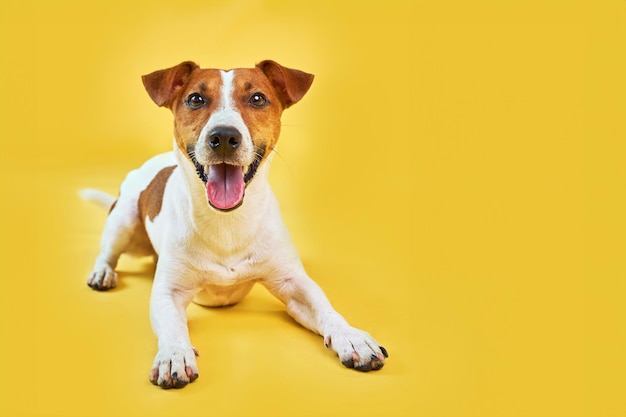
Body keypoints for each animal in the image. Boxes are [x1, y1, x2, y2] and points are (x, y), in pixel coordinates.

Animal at [83, 60, 386, 388]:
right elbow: (172, 327)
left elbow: (326, 310)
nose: (225, 137)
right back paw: (103, 272)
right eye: (195, 99)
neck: (227, 222)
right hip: (124, 219)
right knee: (108, 252)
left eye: (257, 98)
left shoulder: (293, 283)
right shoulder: (168, 292)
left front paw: (352, 338)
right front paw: (174, 355)